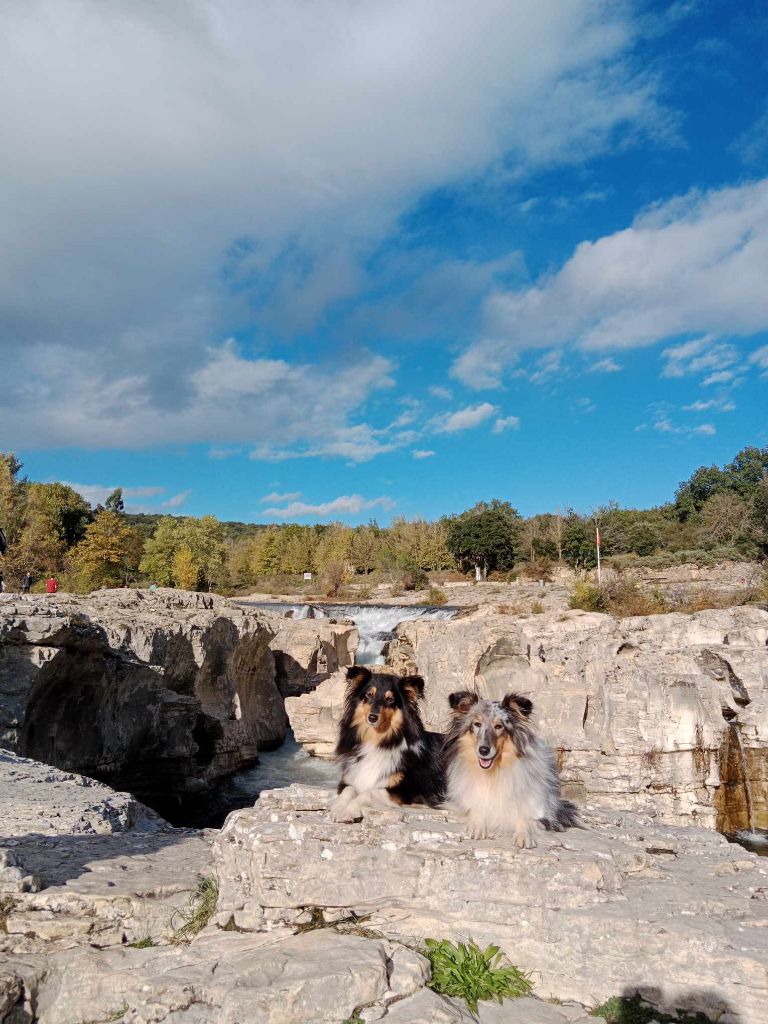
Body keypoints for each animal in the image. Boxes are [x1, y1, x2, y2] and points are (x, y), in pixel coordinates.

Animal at [331, 663, 444, 823]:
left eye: (390, 699)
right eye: (369, 695)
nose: (372, 717)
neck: (377, 741)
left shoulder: (404, 792)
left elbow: (368, 793)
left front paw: (349, 810)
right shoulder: (350, 778)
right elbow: (348, 790)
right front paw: (338, 809)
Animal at [442, 688, 581, 847]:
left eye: (499, 726)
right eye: (477, 724)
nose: (483, 750)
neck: (493, 774)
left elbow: (525, 819)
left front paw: (523, 836)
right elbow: (477, 808)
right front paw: (477, 827)